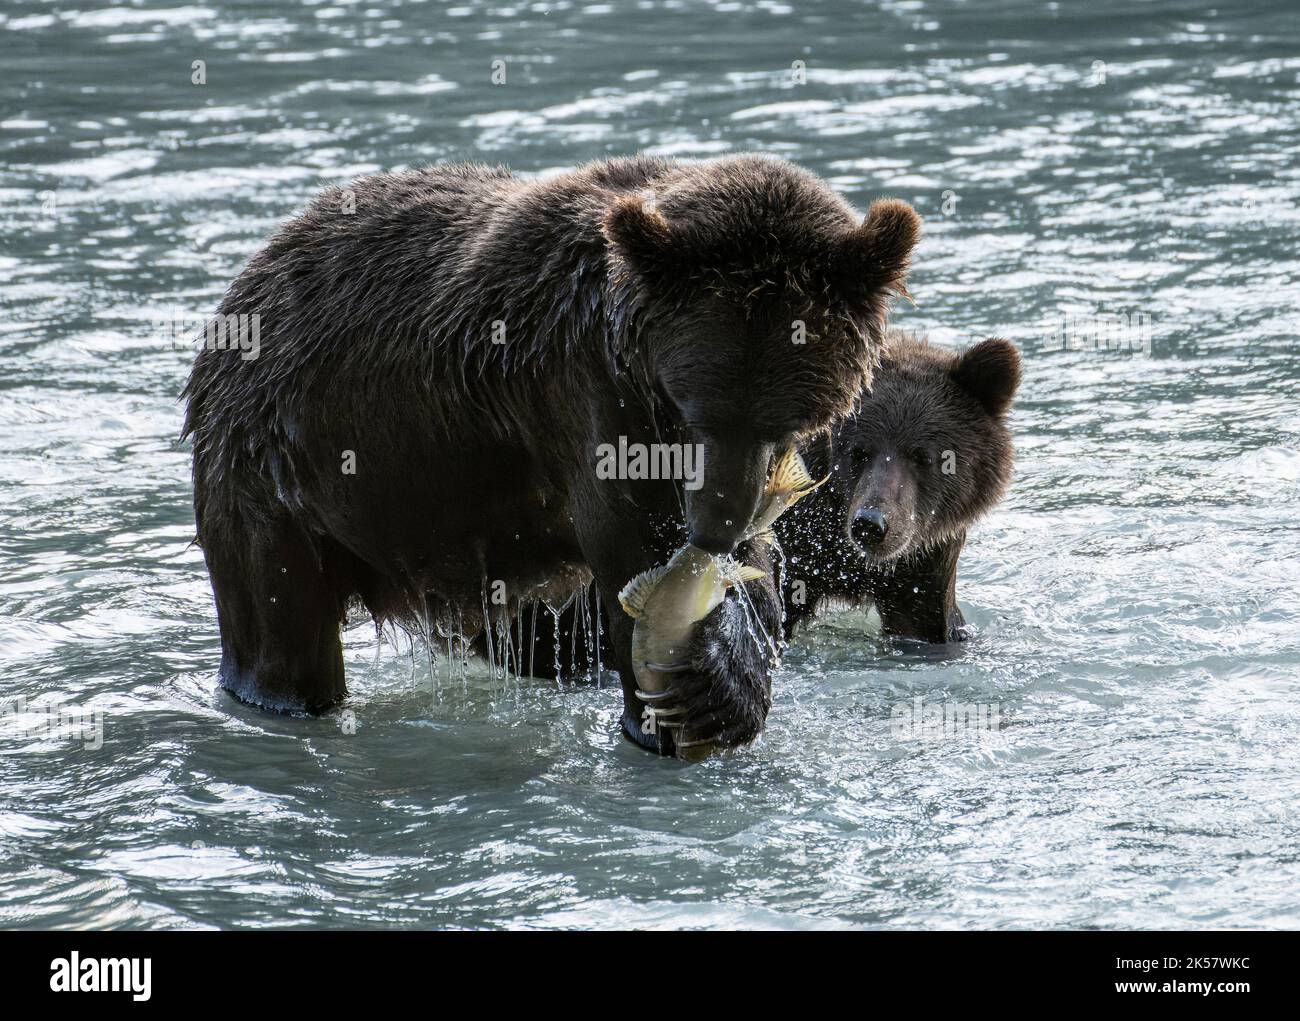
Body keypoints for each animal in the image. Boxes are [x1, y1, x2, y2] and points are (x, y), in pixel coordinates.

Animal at [181, 154, 922, 757]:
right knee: (279, 624)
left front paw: (726, 666)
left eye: (786, 420)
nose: (716, 525)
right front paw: (701, 692)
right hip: (276, 467)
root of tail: (242, 288)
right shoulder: (590, 396)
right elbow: (632, 544)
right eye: (697, 410)